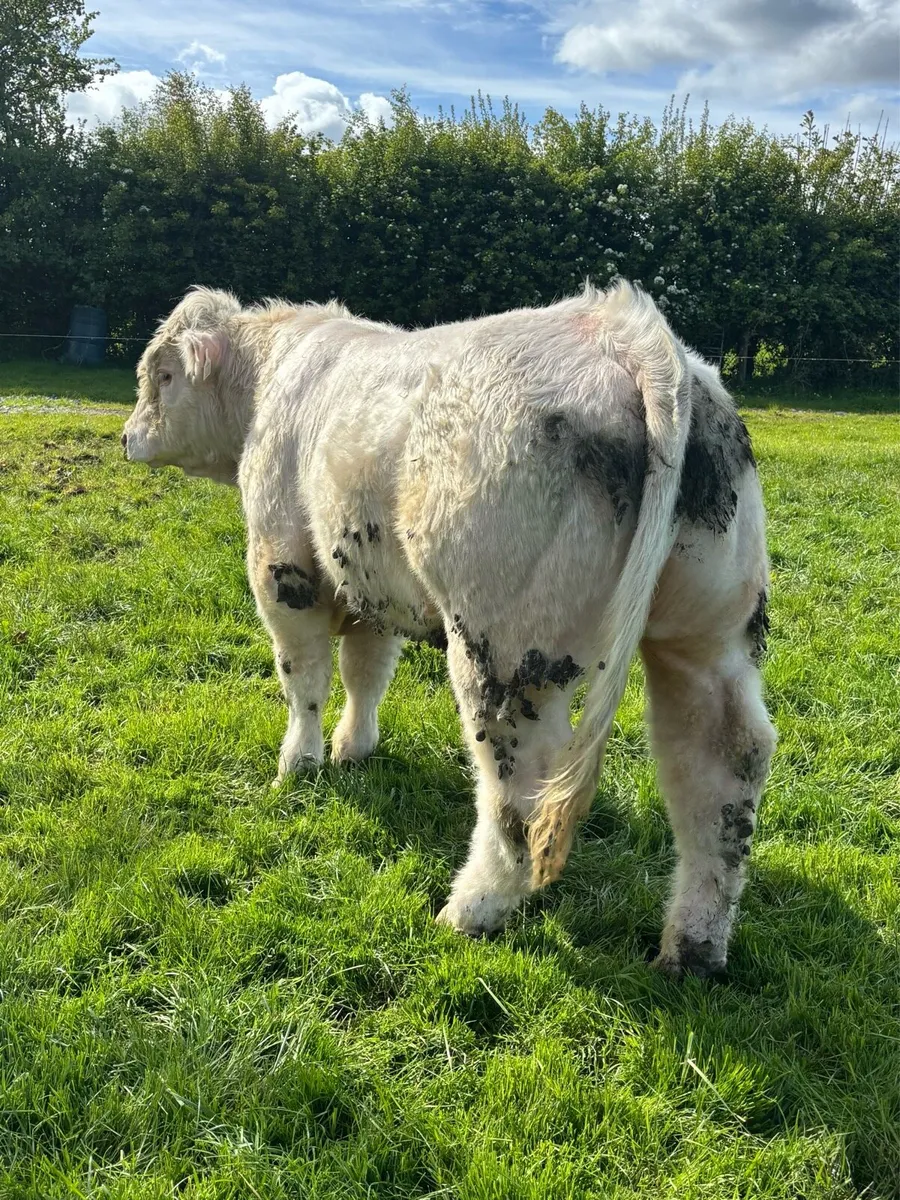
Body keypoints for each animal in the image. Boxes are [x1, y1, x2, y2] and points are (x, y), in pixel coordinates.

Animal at [123, 281, 776, 977]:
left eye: (162, 376)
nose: (127, 437)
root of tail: (625, 328)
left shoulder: (284, 569)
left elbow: (304, 680)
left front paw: (297, 766)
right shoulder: (370, 582)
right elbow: (365, 672)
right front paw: (353, 748)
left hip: (505, 649)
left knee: (522, 781)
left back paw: (471, 908)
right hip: (707, 636)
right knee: (723, 761)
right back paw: (693, 947)